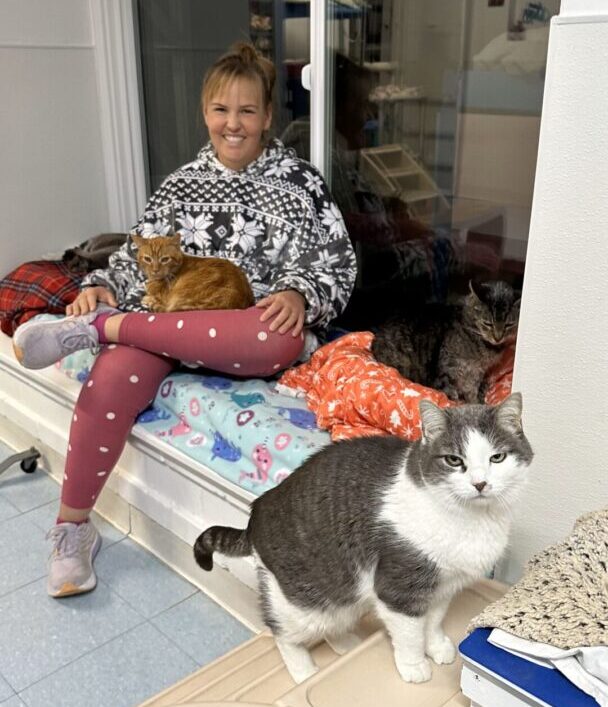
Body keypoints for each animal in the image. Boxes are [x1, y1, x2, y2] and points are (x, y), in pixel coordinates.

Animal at [195, 396, 532, 684]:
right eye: (453, 460)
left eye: (497, 457)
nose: (480, 483)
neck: (471, 520)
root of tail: (255, 513)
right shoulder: (398, 587)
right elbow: (410, 633)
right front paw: (415, 666)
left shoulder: (444, 585)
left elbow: (434, 621)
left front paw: (437, 647)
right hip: (304, 602)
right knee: (282, 633)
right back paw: (305, 672)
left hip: (346, 595)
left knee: (334, 622)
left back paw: (346, 643)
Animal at [370, 280, 524, 404]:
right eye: (488, 323)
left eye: (508, 325)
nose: (498, 337)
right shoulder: (449, 367)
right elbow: (449, 387)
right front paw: (457, 400)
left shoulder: (476, 372)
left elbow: (472, 390)